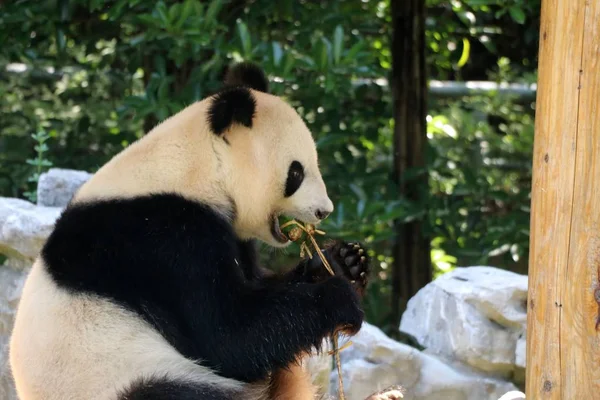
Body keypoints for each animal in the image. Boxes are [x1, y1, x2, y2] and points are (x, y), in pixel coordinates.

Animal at [10, 62, 370, 400]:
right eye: (296, 172)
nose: (324, 210)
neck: (194, 166)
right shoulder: (164, 240)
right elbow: (230, 337)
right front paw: (339, 296)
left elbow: (258, 292)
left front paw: (343, 262)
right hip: (122, 374)